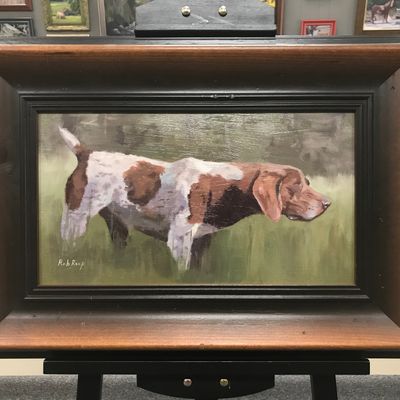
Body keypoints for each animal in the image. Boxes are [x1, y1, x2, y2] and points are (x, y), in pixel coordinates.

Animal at [59, 127, 331, 271]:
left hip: (118, 228)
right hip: (75, 219)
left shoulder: (203, 240)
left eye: (307, 183)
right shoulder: (180, 238)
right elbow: (182, 269)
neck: (224, 184)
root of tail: (86, 153)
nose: (327, 204)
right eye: (295, 186)